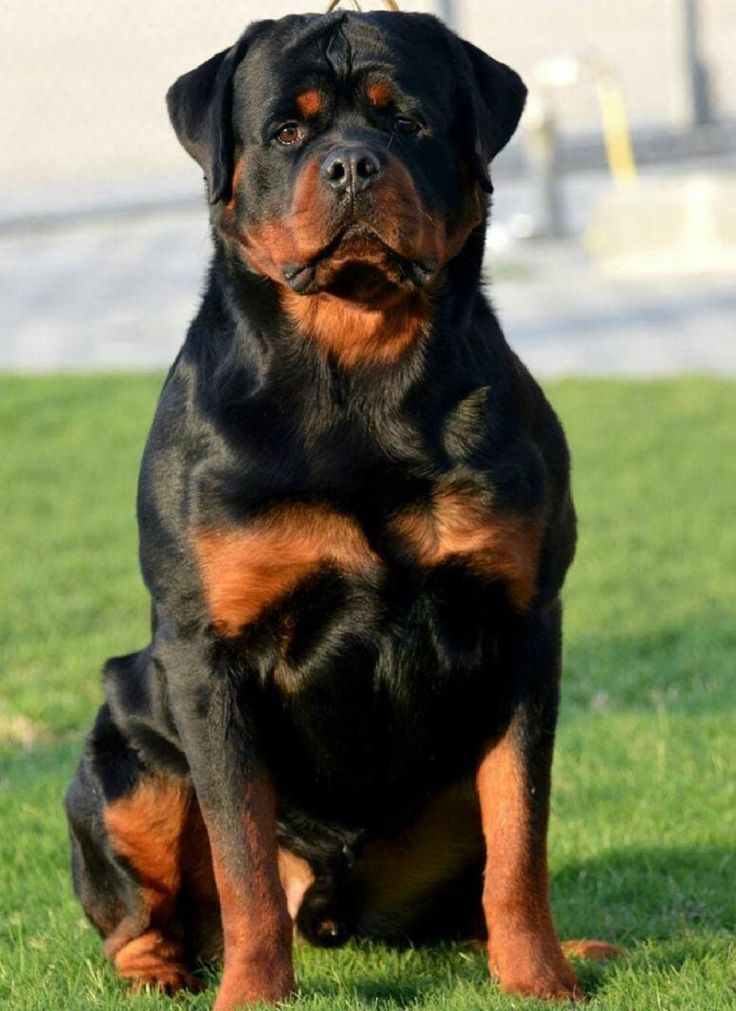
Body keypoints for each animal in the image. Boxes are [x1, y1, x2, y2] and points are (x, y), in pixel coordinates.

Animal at [66, 9, 618, 1011]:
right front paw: (253, 992)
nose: (353, 164)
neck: (361, 375)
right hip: (125, 756)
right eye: (288, 130)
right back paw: (162, 972)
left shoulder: (524, 624)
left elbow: (521, 832)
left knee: (476, 876)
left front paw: (540, 976)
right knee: (146, 909)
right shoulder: (208, 656)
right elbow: (243, 862)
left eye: (406, 122)